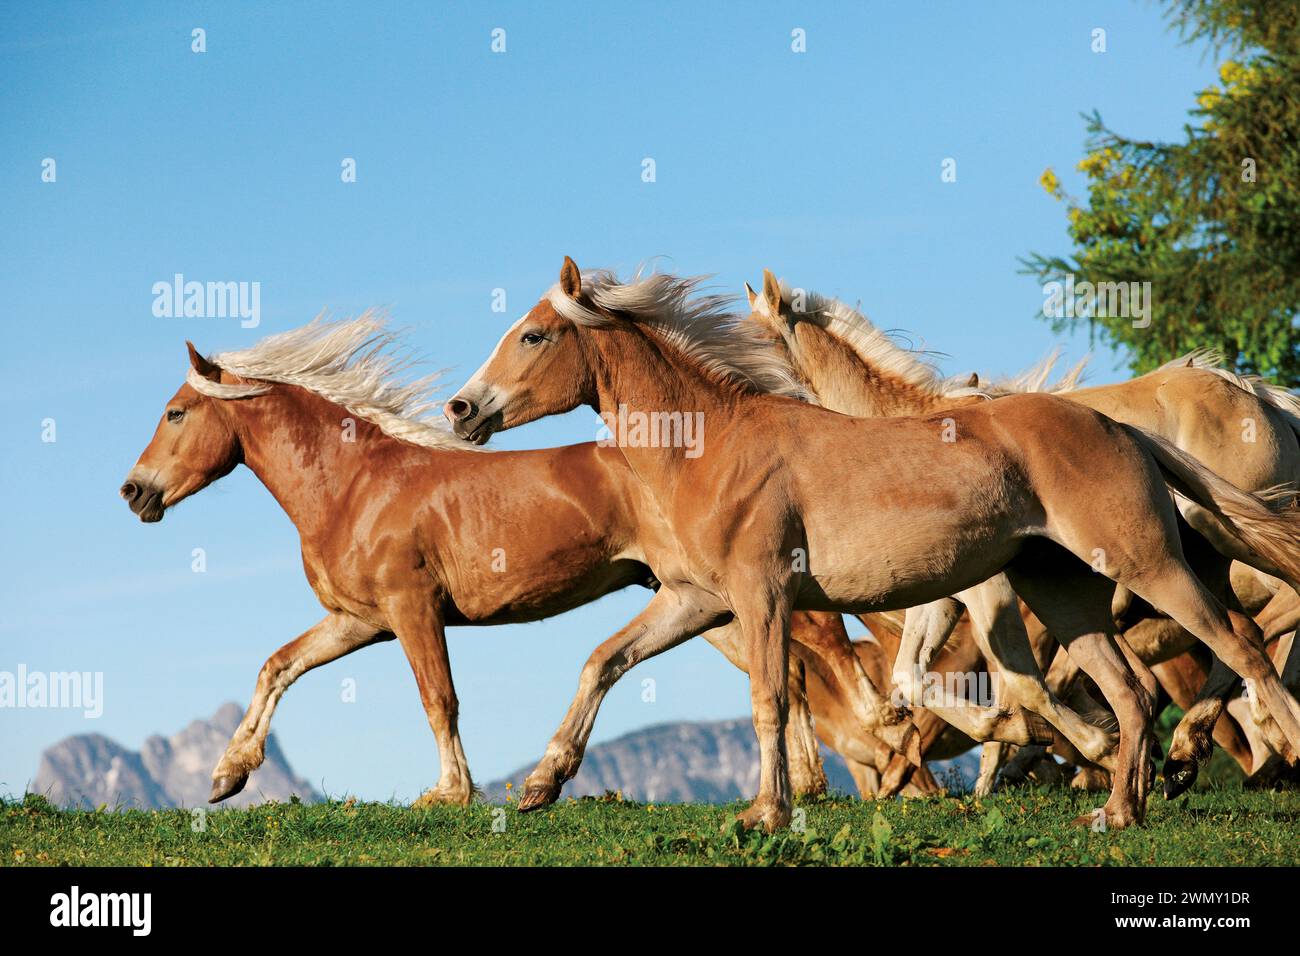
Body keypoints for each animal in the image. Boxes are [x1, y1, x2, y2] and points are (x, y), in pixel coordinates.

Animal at [444, 260, 1300, 832]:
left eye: (533, 334)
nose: (461, 409)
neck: (713, 444)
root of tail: (1121, 428)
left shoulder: (764, 596)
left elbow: (770, 699)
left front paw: (766, 814)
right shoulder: (698, 601)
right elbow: (604, 662)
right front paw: (542, 785)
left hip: (1148, 565)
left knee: (1242, 646)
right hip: (1062, 590)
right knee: (1133, 693)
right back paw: (1119, 812)